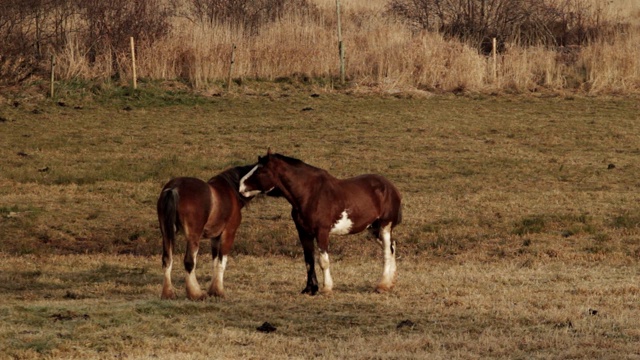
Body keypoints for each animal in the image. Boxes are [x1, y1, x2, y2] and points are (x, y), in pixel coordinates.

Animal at [157, 165, 255, 300]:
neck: (230, 191)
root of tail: (174, 188)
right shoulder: (228, 233)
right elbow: (221, 262)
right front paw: (218, 291)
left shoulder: (214, 237)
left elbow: (214, 261)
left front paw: (213, 289)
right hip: (193, 238)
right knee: (189, 262)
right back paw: (196, 293)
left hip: (166, 234)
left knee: (167, 260)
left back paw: (168, 293)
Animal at [239, 150, 400, 294]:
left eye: (261, 171)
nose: (240, 187)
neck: (310, 194)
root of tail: (390, 187)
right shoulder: (303, 233)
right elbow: (308, 261)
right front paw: (310, 289)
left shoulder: (322, 232)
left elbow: (323, 261)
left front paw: (326, 288)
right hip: (374, 229)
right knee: (392, 247)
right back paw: (390, 282)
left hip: (385, 226)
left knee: (387, 252)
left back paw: (382, 285)